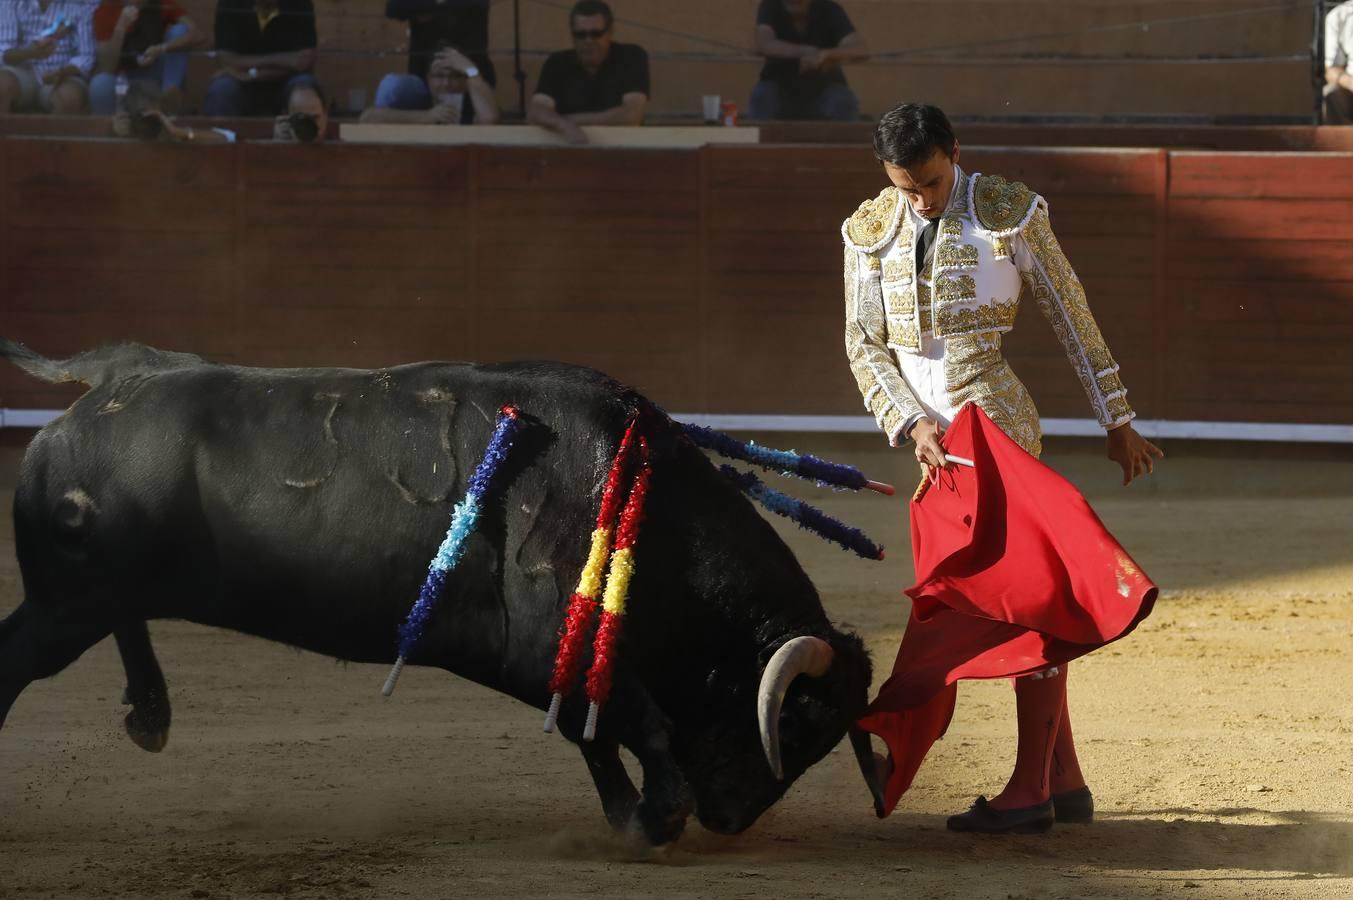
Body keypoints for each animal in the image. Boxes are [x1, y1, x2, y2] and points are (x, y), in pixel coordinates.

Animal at [0, 341, 876, 844]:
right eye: (798, 726)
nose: (730, 818)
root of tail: (117, 375)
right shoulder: (542, 647)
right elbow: (635, 721)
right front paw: (660, 814)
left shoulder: (555, 662)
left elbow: (593, 734)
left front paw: (634, 816)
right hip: (64, 604)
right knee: (21, 659)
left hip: (92, 592)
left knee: (123, 616)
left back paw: (150, 716)